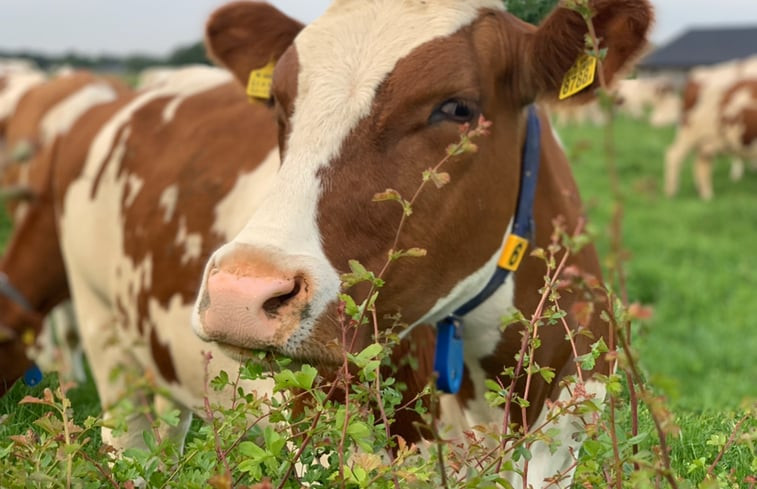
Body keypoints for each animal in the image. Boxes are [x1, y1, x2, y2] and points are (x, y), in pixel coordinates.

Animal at [660, 56, 756, 200]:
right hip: (689, 132)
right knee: (674, 156)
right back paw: (671, 193)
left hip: (707, 140)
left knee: (702, 165)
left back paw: (706, 196)